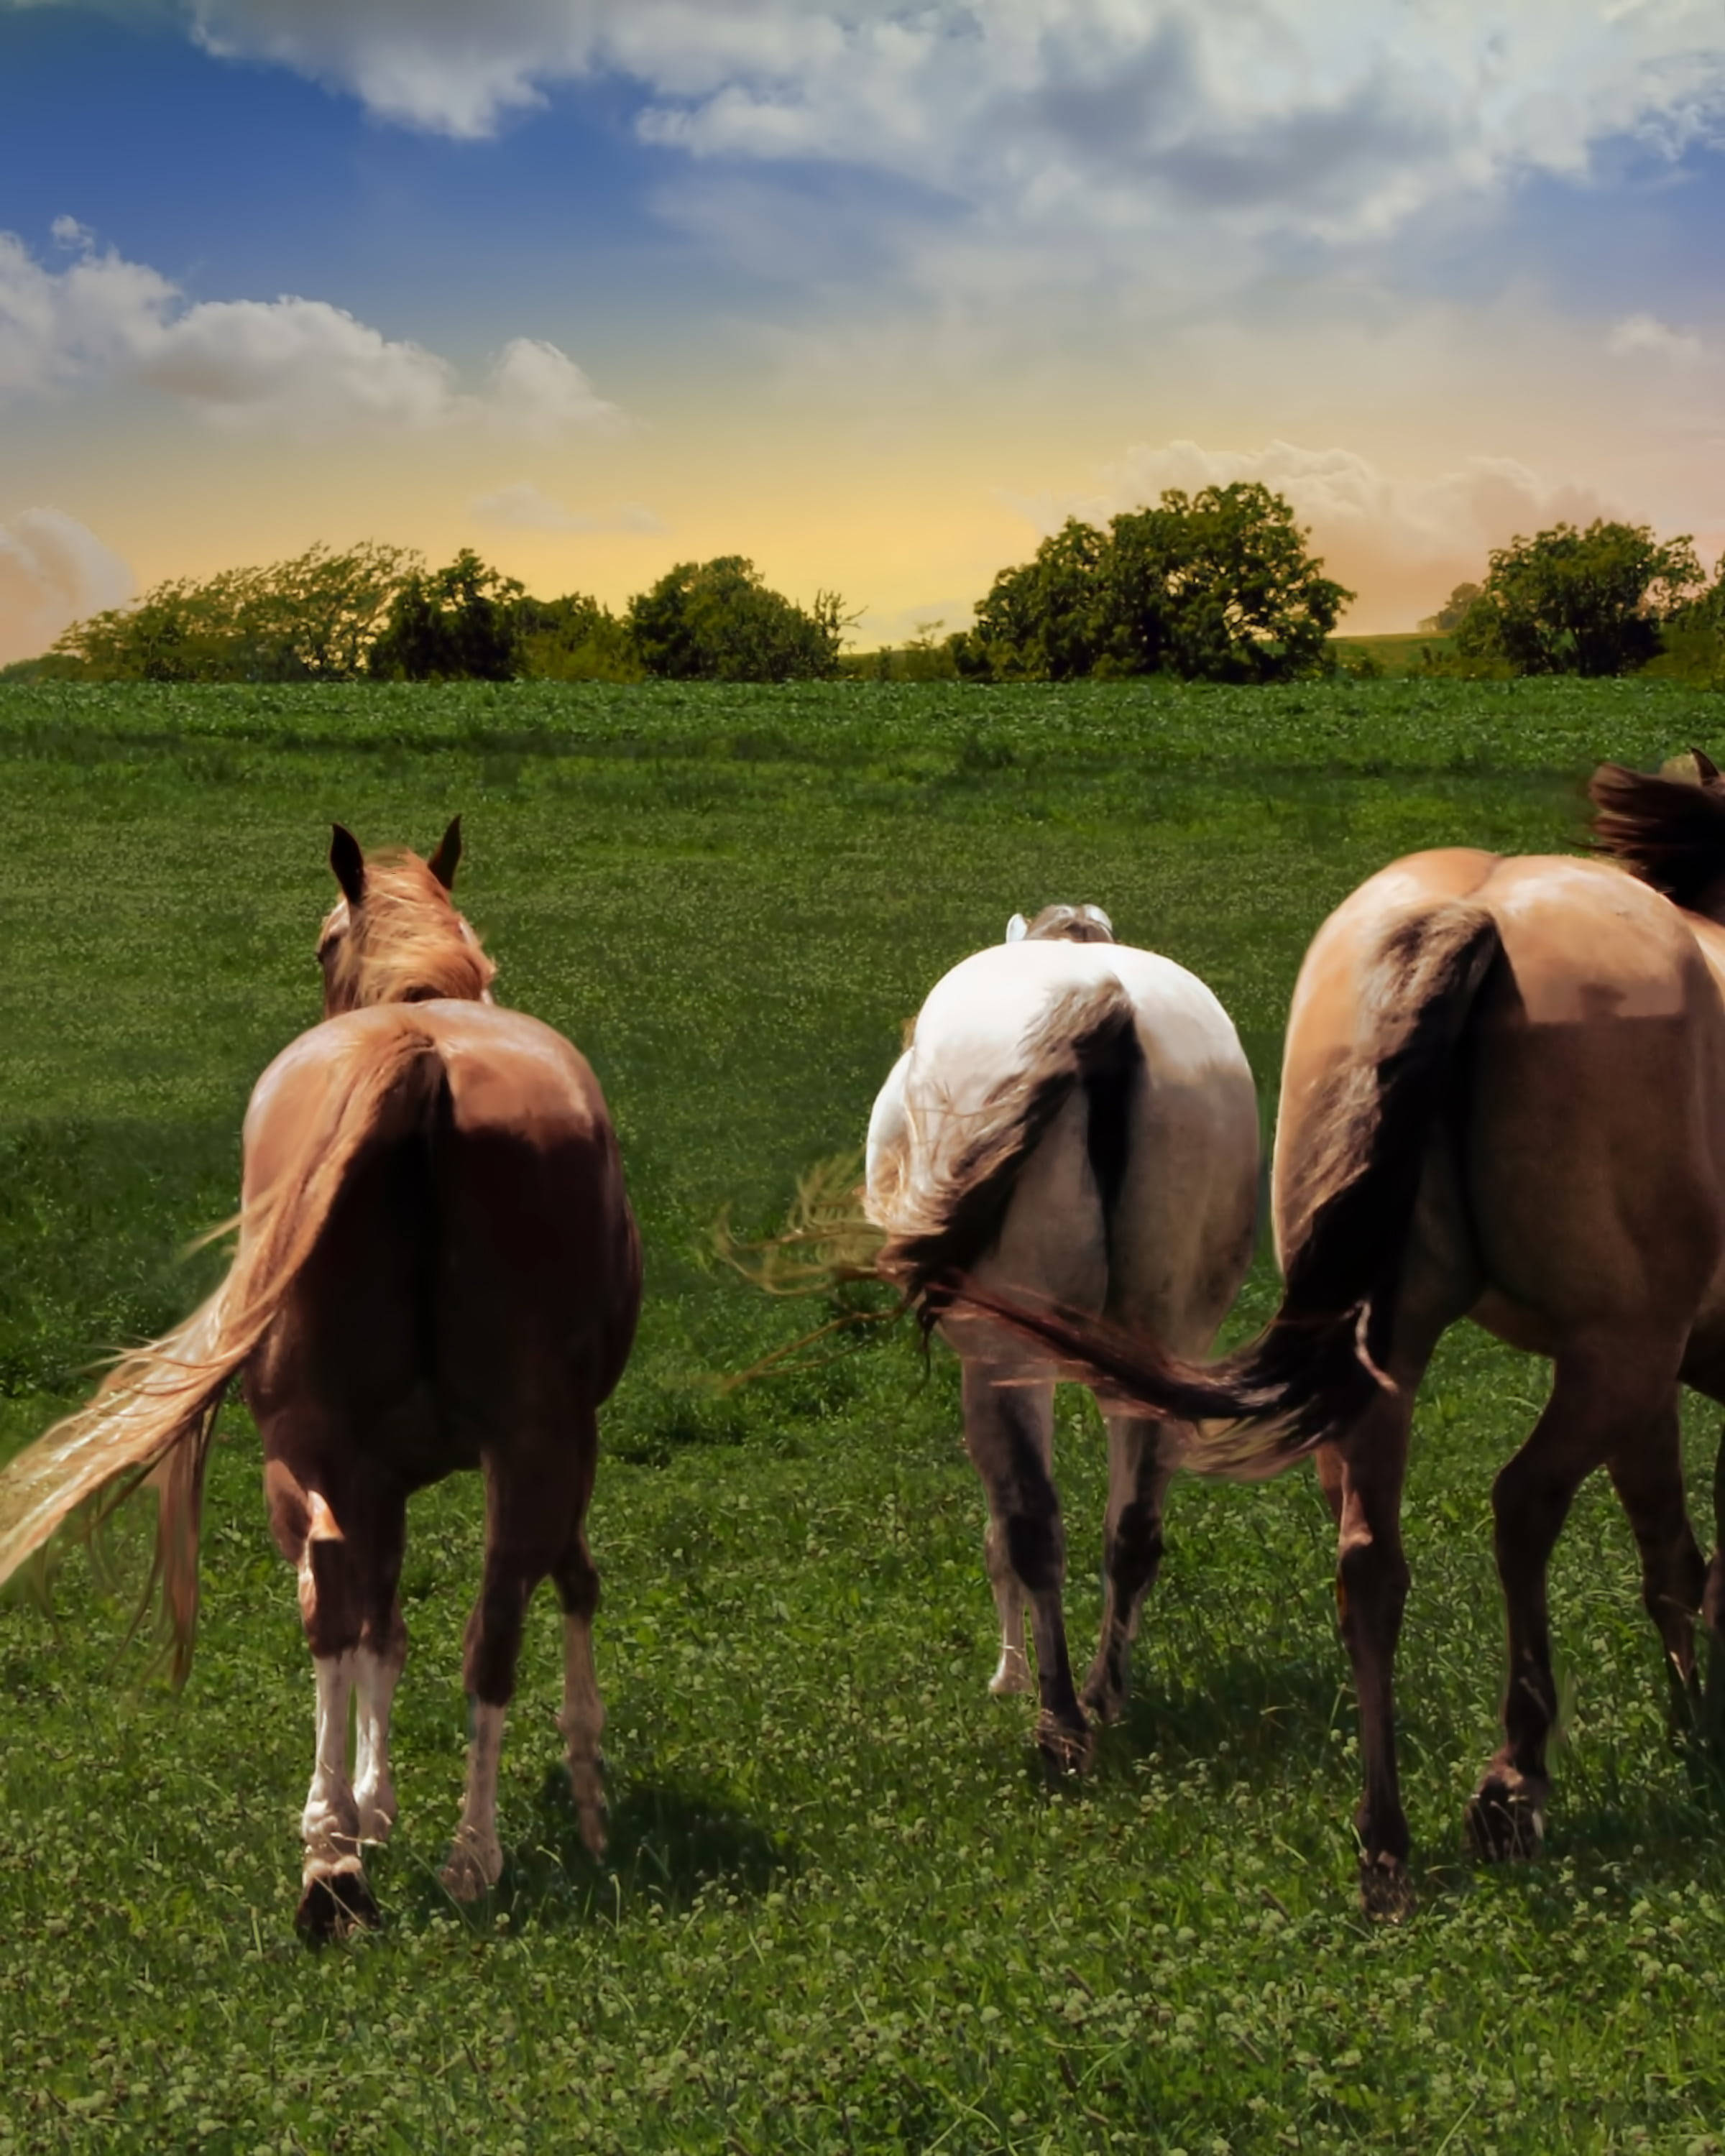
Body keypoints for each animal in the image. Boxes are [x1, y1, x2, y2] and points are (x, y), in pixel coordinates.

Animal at [0, 820, 641, 1937]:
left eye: (316, 944)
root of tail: (419, 1057)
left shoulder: (378, 1466)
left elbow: (380, 1621)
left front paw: (363, 1810)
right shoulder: (562, 1445)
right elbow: (560, 1585)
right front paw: (580, 1777)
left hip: (309, 1441)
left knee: (335, 1597)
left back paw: (330, 1868)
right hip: (523, 1445)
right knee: (490, 1614)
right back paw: (464, 1855)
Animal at [863, 901, 1260, 1768]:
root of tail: (1102, 1000)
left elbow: (1000, 1530)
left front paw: (1007, 1675)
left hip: (1005, 1352)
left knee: (1033, 1528)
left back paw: (1059, 1720)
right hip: (1163, 1335)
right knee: (1135, 1530)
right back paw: (1106, 1695)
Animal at [951, 756, 1725, 1913]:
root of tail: (1474, 911)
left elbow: (1669, 1548)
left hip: (1431, 1353)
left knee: (1377, 1557)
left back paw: (1391, 1838)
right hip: (1597, 1352)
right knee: (1513, 1509)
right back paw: (1495, 1793)